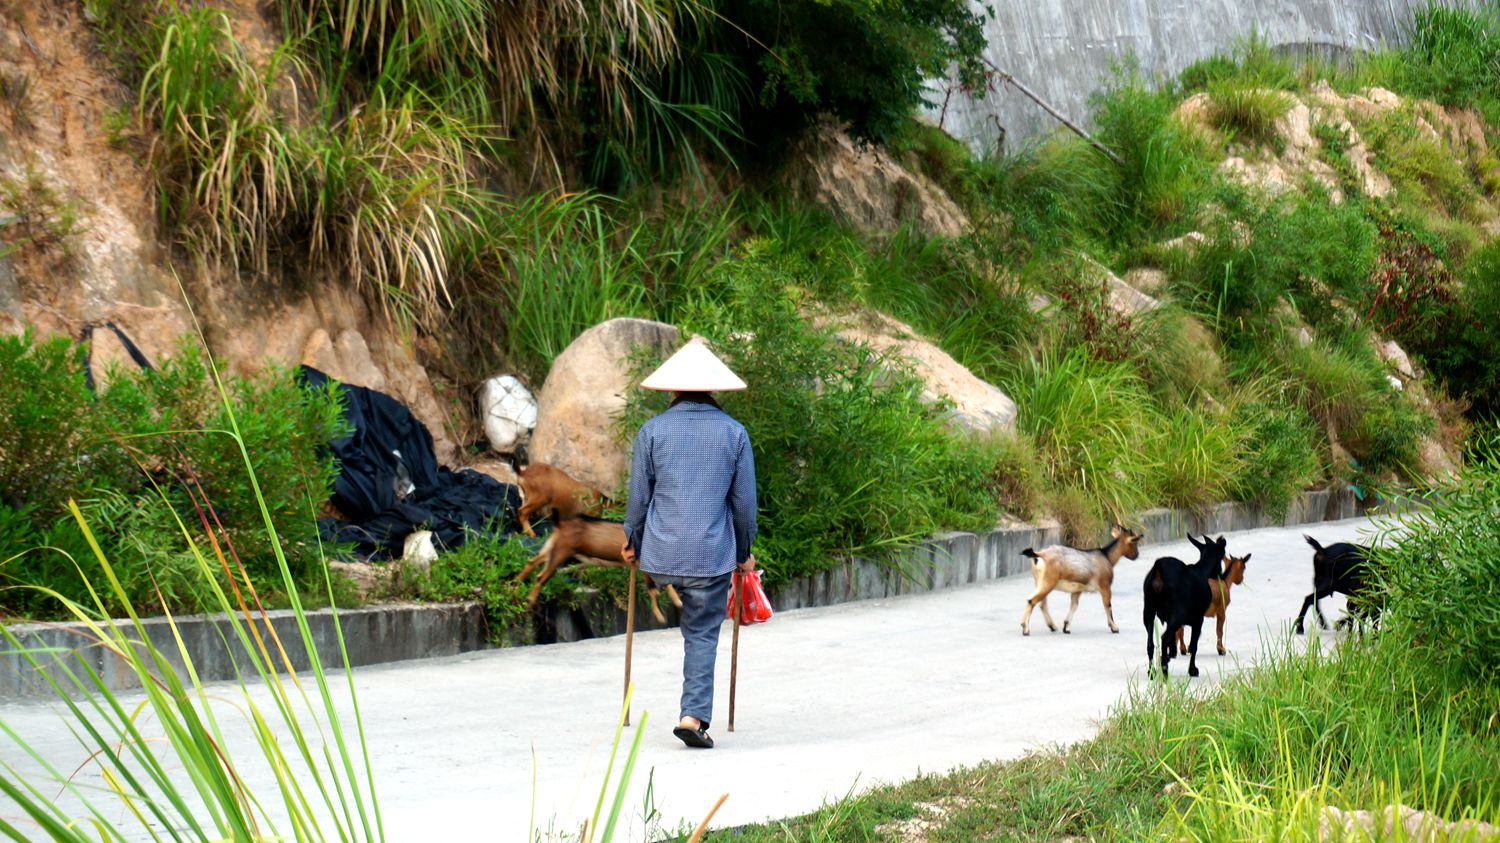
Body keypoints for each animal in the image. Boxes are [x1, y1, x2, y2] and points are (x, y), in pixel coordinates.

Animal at [1140, 537, 1224, 675]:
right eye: (1222, 556)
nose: (1221, 575)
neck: (1201, 571)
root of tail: (1158, 571)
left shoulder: (1170, 621)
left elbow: (1173, 643)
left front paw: (1169, 656)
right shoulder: (1198, 620)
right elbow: (1193, 646)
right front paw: (1192, 669)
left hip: (1148, 612)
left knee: (1150, 643)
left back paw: (1152, 672)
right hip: (1177, 616)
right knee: (1164, 638)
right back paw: (1164, 670)